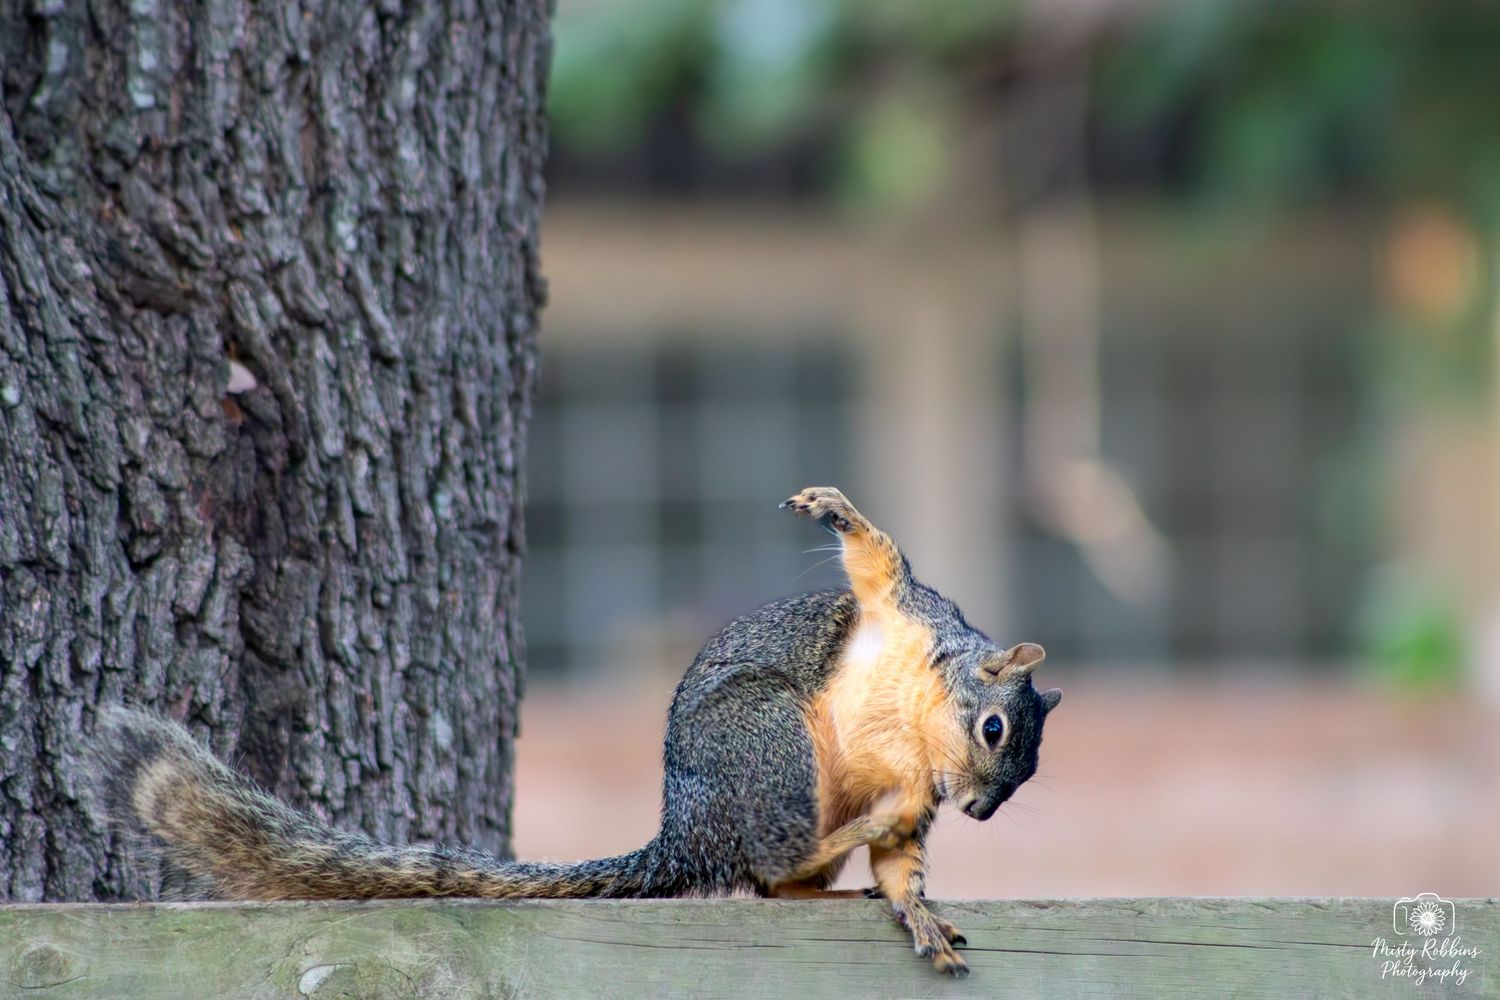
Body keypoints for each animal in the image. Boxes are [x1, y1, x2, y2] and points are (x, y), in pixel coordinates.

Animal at [96, 486, 1061, 977]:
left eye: (1021, 774)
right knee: (771, 854)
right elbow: (877, 556)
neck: (923, 733)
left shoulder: (922, 800)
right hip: (766, 736)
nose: (980, 811)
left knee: (772, 879)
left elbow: (905, 863)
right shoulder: (899, 610)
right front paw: (837, 509)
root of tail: (684, 833)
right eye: (992, 728)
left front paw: (916, 908)